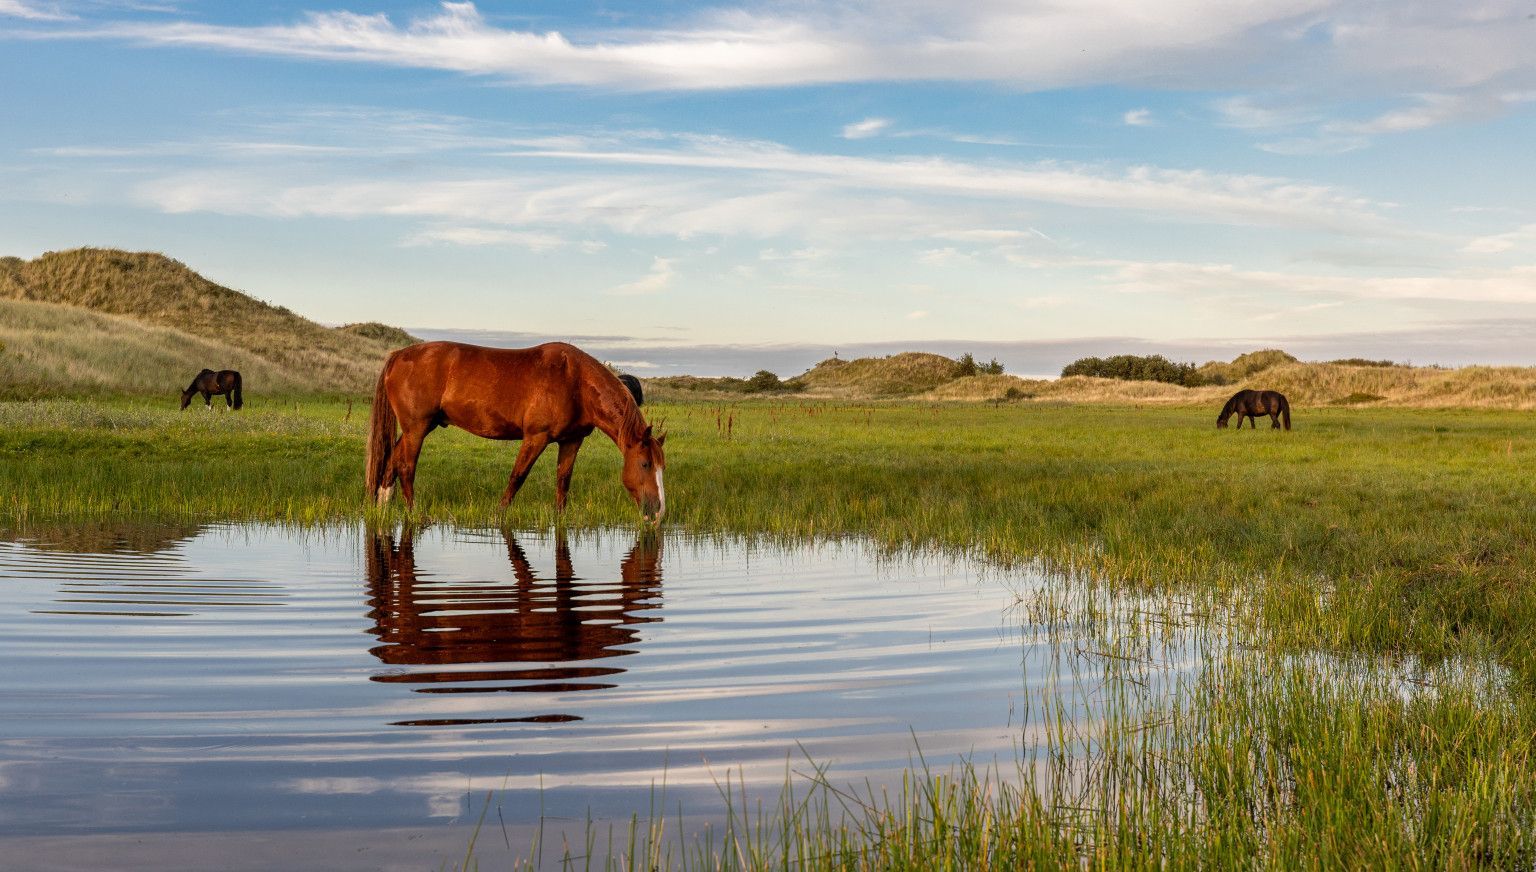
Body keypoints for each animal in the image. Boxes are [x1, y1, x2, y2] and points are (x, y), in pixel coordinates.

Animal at [368, 339, 669, 518]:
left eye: (661, 467)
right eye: (644, 464)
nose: (658, 512)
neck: (575, 381)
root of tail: (398, 355)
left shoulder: (571, 441)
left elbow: (563, 481)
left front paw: (560, 517)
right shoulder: (535, 438)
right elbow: (518, 476)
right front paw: (499, 514)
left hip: (421, 427)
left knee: (392, 461)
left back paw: (382, 507)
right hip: (416, 429)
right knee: (406, 467)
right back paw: (413, 512)